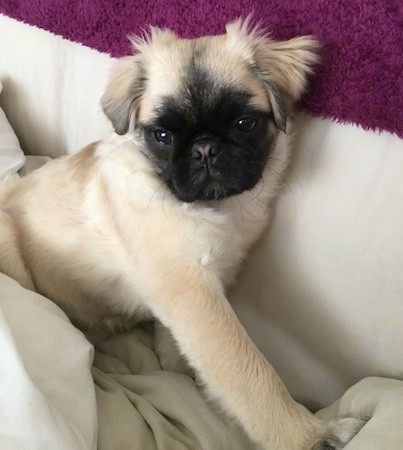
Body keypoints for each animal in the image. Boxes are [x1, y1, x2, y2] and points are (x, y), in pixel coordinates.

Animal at [0, 19, 364, 448]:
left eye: (244, 124)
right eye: (163, 136)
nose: (205, 149)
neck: (214, 209)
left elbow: (181, 350)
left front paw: (183, 372)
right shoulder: (193, 294)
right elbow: (250, 375)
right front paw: (309, 435)